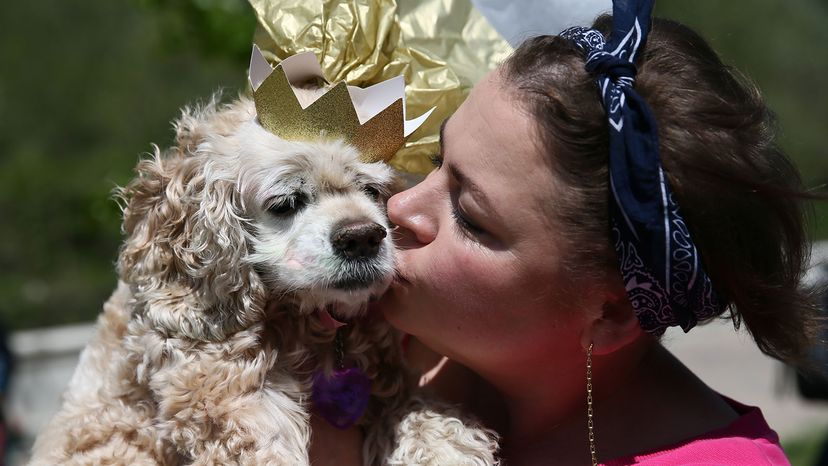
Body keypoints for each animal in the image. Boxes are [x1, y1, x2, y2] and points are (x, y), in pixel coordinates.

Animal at [29, 92, 498, 466]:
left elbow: (418, 410)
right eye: (287, 202)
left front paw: (448, 447)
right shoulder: (209, 383)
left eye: (372, 191)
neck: (307, 326)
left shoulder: (386, 382)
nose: (363, 237)